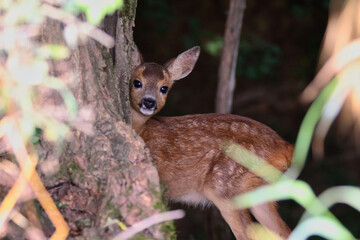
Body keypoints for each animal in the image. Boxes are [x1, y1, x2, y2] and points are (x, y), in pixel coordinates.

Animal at [130, 46, 292, 239]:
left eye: (164, 88)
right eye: (137, 82)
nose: (149, 102)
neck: (142, 130)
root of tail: (287, 149)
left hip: (225, 185)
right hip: (259, 190)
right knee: (284, 230)